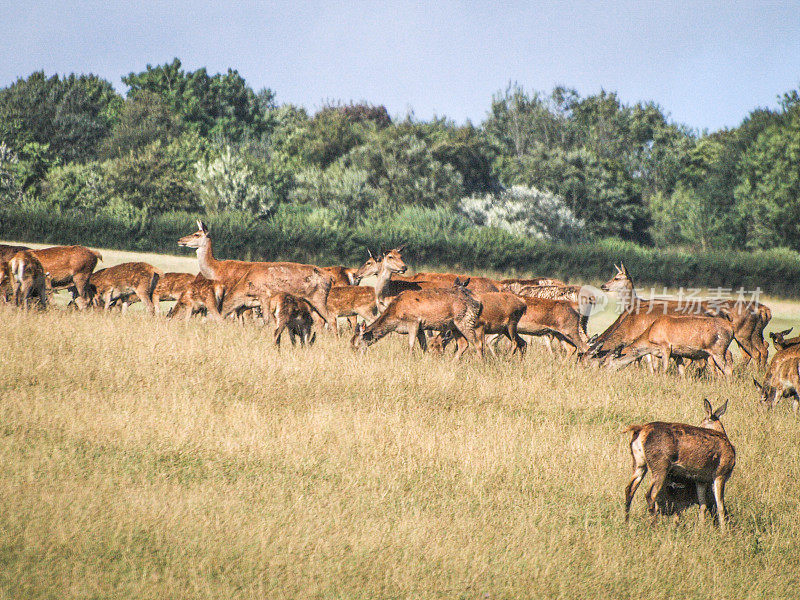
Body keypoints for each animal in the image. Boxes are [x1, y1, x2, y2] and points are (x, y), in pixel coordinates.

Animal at [350, 278, 482, 358]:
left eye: (357, 344)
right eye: (351, 344)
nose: (356, 357)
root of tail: (477, 303)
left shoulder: (413, 321)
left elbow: (411, 344)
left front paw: (410, 359)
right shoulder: (421, 328)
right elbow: (423, 345)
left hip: (465, 320)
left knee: (478, 342)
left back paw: (481, 364)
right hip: (454, 325)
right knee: (463, 343)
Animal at [608, 312, 736, 378]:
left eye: (608, 361)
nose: (606, 372)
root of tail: (731, 327)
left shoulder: (666, 346)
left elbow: (664, 368)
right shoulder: (676, 354)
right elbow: (681, 371)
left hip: (718, 349)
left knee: (727, 369)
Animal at [624, 400, 736, 532]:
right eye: (702, 422)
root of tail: (640, 429)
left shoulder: (701, 479)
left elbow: (702, 505)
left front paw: (701, 529)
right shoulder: (721, 473)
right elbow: (720, 506)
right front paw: (724, 532)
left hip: (639, 463)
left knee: (629, 489)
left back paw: (626, 523)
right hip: (660, 465)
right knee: (650, 494)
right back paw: (654, 527)